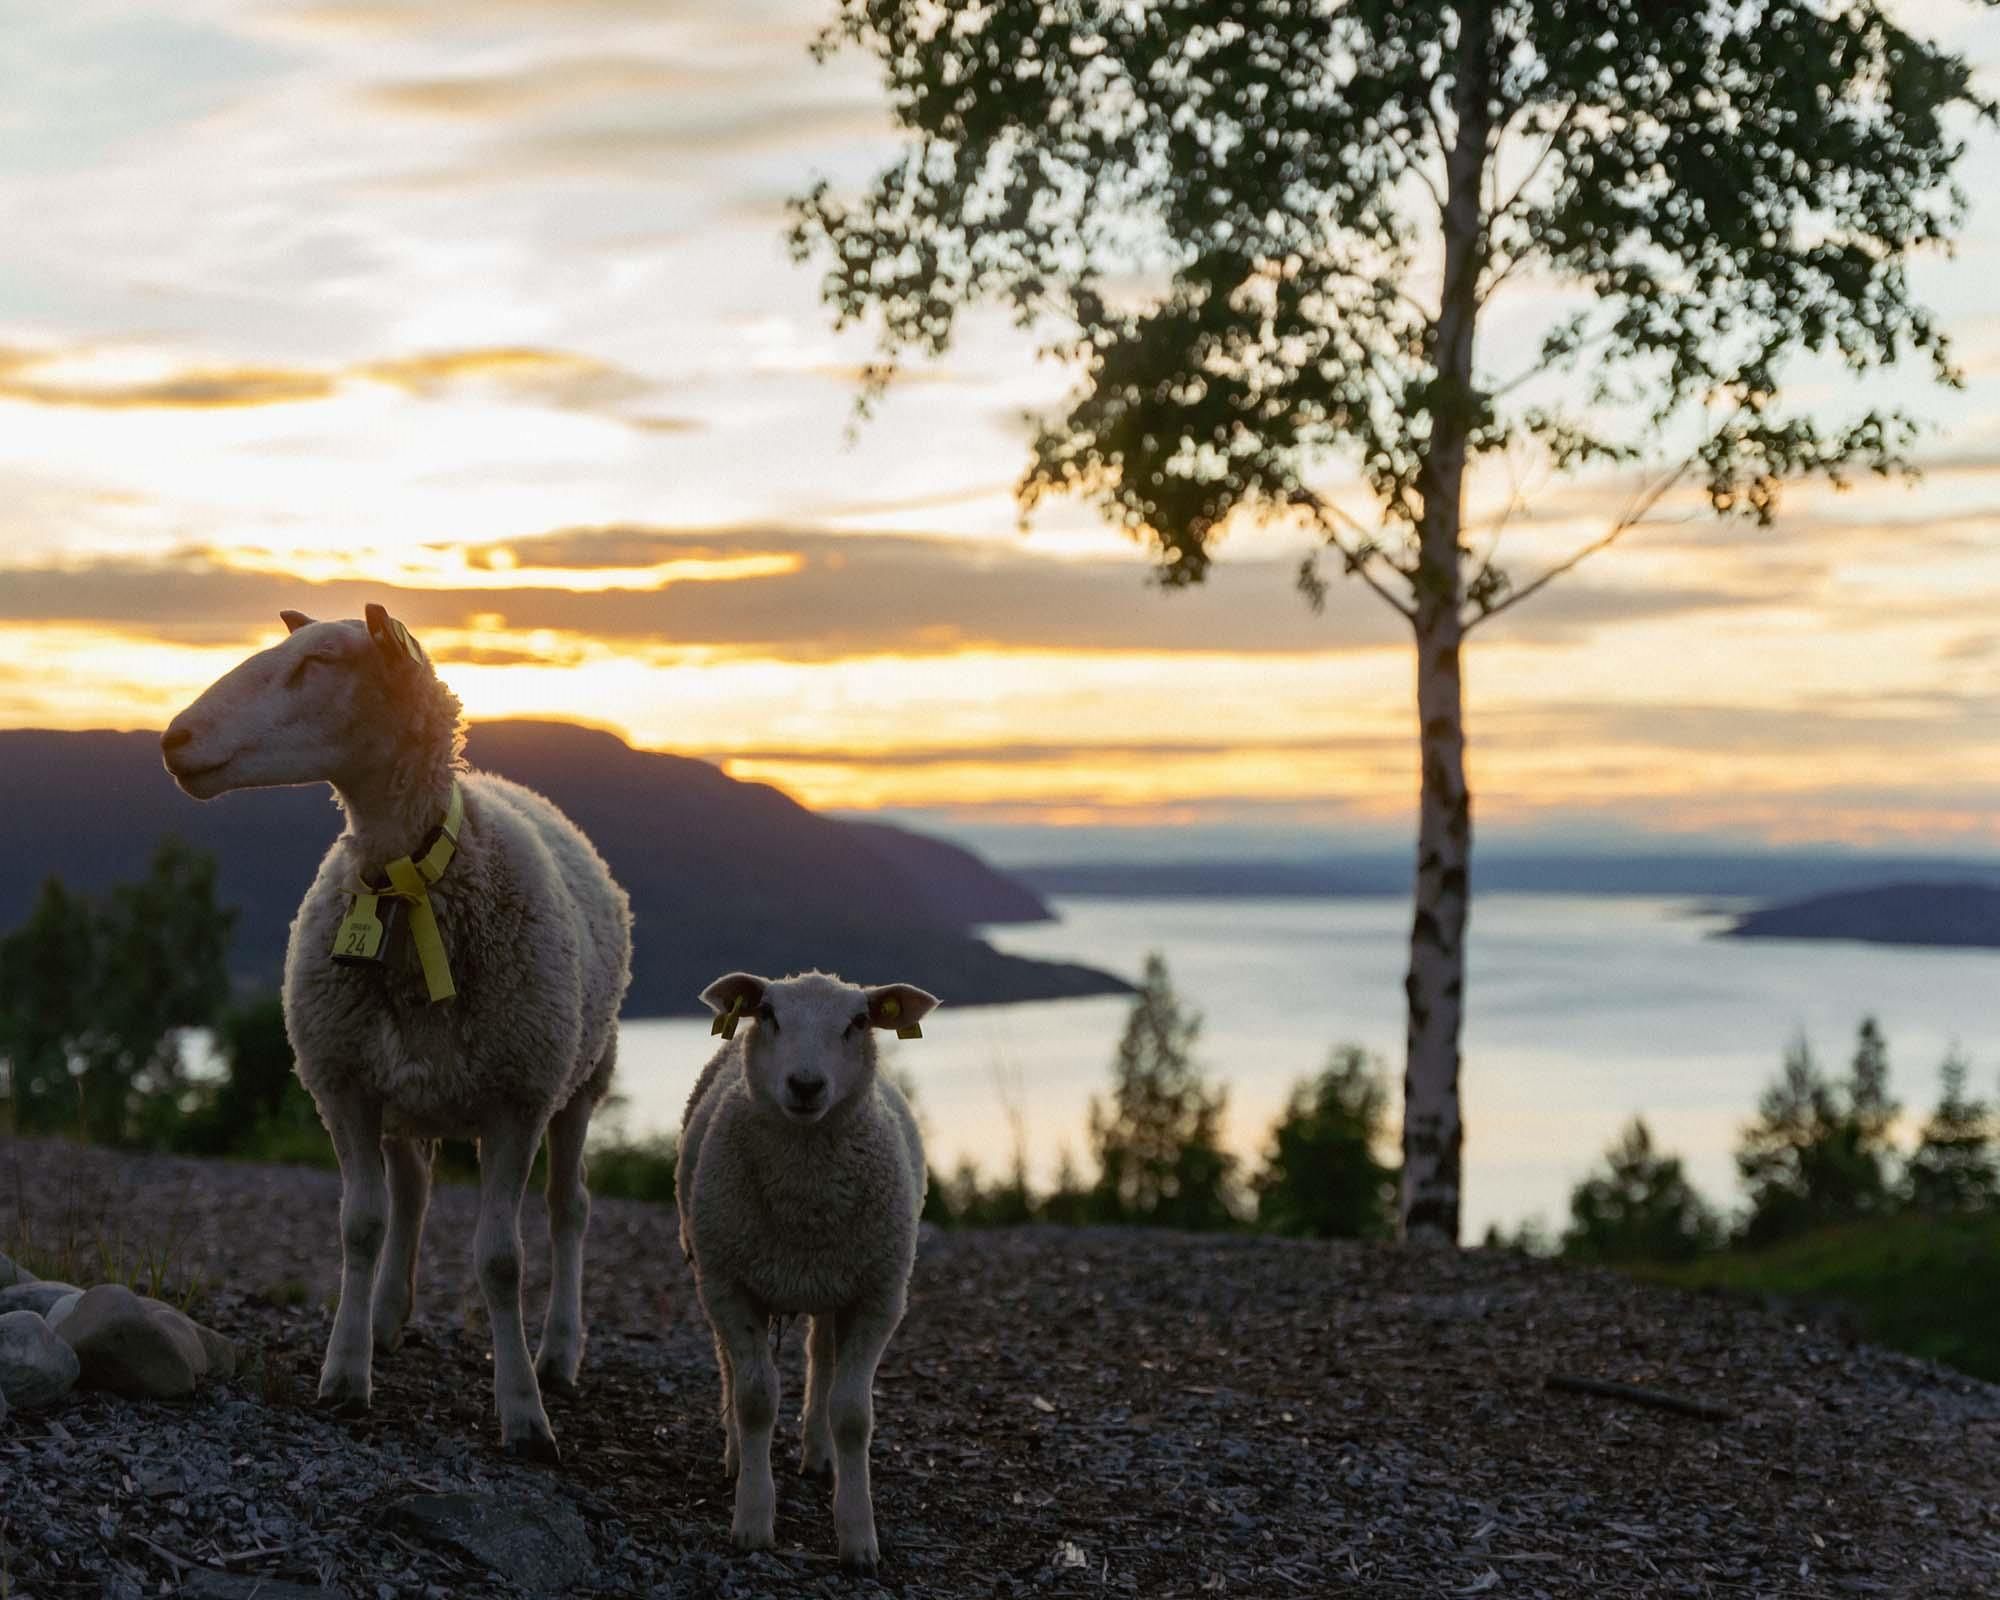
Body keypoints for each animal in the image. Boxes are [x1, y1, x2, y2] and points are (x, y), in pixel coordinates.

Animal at [161, 604, 633, 1461]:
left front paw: (523, 1413)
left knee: (568, 1206)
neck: (410, 882)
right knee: (411, 1192)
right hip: (405, 1090)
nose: (173, 739)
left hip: (582, 1076)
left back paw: (559, 1353)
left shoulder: (516, 1100)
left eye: (318, 662)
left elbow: (501, 1259)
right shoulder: (343, 1085)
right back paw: (386, 1318)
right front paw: (345, 1373)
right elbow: (360, 1226)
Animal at [679, 969, 939, 1571]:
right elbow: (755, 1399)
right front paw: (753, 1518)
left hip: (834, 1280)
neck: (805, 1197)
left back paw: (820, 1455)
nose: (805, 1085)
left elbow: (853, 1414)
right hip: (712, 1265)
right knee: (730, 1366)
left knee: (822, 1357)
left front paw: (858, 1535)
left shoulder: (879, 1295)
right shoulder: (729, 1284)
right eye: (768, 1014)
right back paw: (735, 1455)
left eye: (859, 1022)